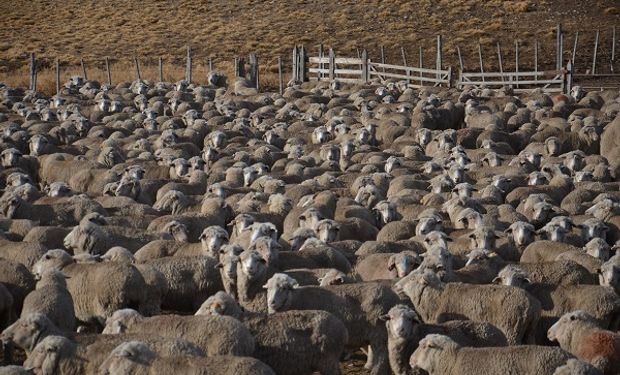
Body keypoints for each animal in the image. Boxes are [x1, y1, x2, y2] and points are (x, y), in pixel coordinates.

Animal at [262, 274, 400, 375]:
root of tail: (395, 298)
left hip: (379, 330)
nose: (271, 302)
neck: (296, 298)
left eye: (284, 288)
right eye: (268, 288)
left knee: (382, 355)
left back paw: (376, 371)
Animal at [400, 270, 540, 346]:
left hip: (511, 329)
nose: (397, 284)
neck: (436, 297)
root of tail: (531, 304)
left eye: (412, 278)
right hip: (530, 331)